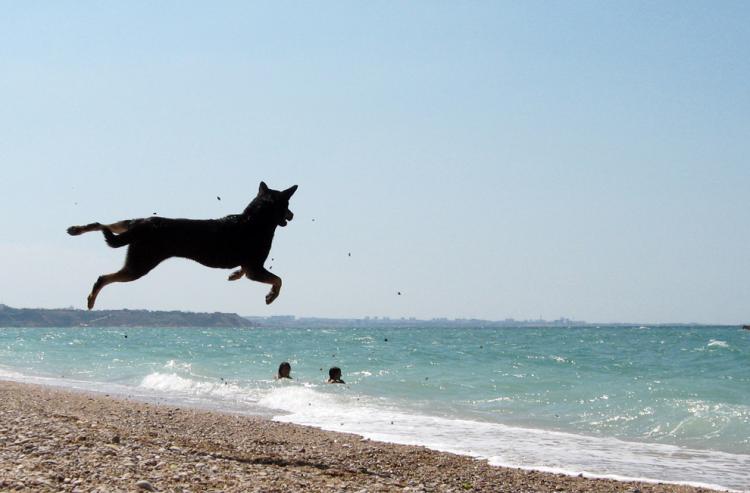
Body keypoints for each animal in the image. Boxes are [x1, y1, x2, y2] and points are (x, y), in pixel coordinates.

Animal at [67, 183, 296, 310]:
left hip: (129, 226)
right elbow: (278, 280)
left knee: (103, 224)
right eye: (287, 206)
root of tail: (143, 225)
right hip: (139, 265)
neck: (255, 219)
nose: (293, 215)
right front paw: (271, 296)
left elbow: (244, 271)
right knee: (103, 278)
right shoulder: (255, 268)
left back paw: (76, 229)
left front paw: (233, 275)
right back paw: (91, 298)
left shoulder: (250, 267)